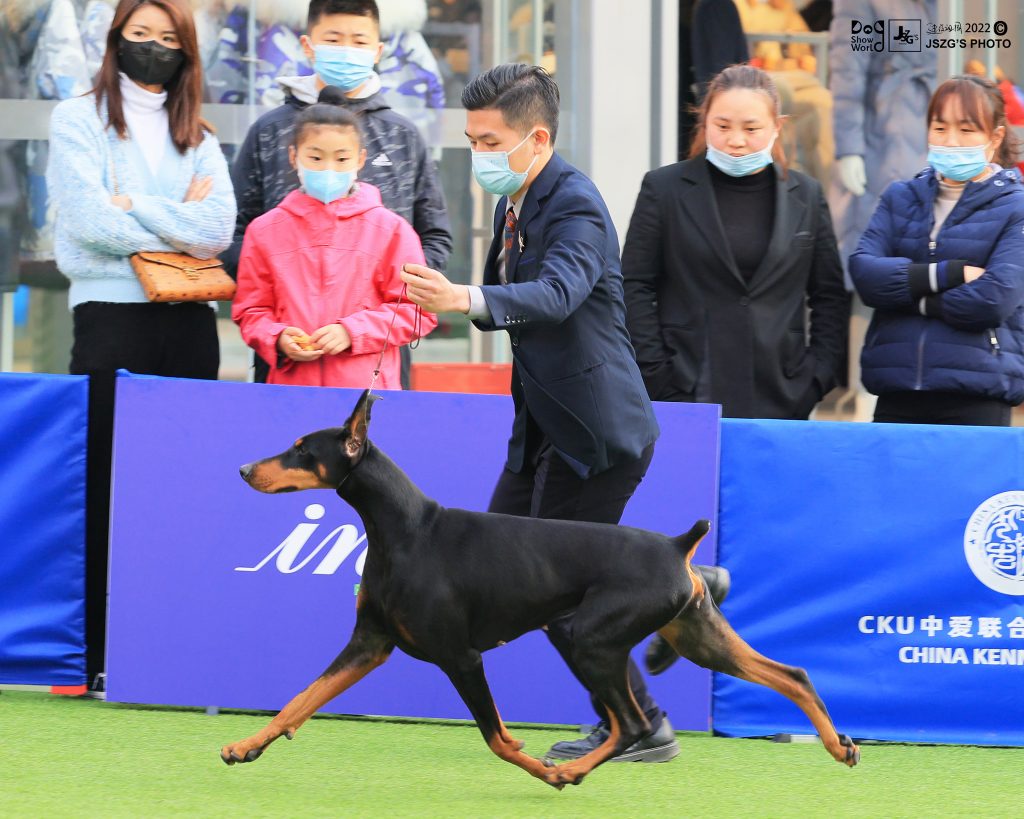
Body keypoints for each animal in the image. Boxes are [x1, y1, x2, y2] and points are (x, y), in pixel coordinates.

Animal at [221, 390, 859, 788]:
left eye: (302, 448)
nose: (245, 470)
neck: (405, 530)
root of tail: (678, 546)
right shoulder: (370, 643)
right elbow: (299, 700)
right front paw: (244, 746)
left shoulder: (460, 656)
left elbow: (499, 739)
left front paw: (542, 770)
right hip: (698, 637)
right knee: (792, 675)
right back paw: (840, 746)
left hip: (586, 637)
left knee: (630, 724)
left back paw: (571, 771)